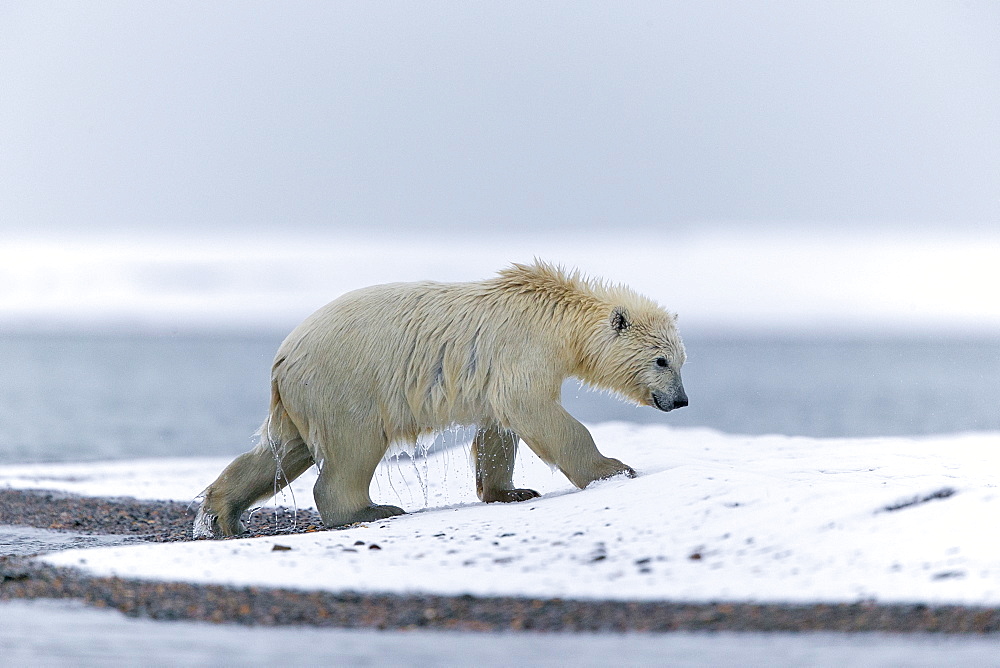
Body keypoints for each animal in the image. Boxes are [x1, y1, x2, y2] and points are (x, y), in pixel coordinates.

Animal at [195, 260, 688, 536]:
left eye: (682, 359)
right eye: (662, 360)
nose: (681, 401)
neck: (553, 312)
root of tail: (282, 357)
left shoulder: (495, 372)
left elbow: (498, 428)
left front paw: (510, 491)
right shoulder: (523, 351)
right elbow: (536, 411)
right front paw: (616, 469)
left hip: (303, 399)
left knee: (279, 452)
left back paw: (223, 514)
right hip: (346, 384)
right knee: (351, 449)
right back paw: (371, 508)